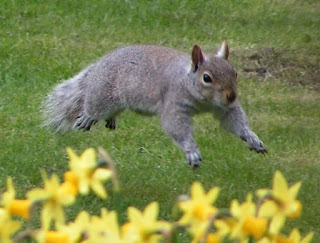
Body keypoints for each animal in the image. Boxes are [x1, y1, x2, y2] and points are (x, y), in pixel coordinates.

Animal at [43, 41, 268, 167]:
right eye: (207, 78)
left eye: (235, 73)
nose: (231, 96)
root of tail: (100, 65)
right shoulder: (174, 103)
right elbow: (176, 127)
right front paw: (191, 150)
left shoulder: (225, 108)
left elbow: (235, 121)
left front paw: (252, 137)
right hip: (104, 93)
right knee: (95, 105)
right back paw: (89, 116)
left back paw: (111, 119)